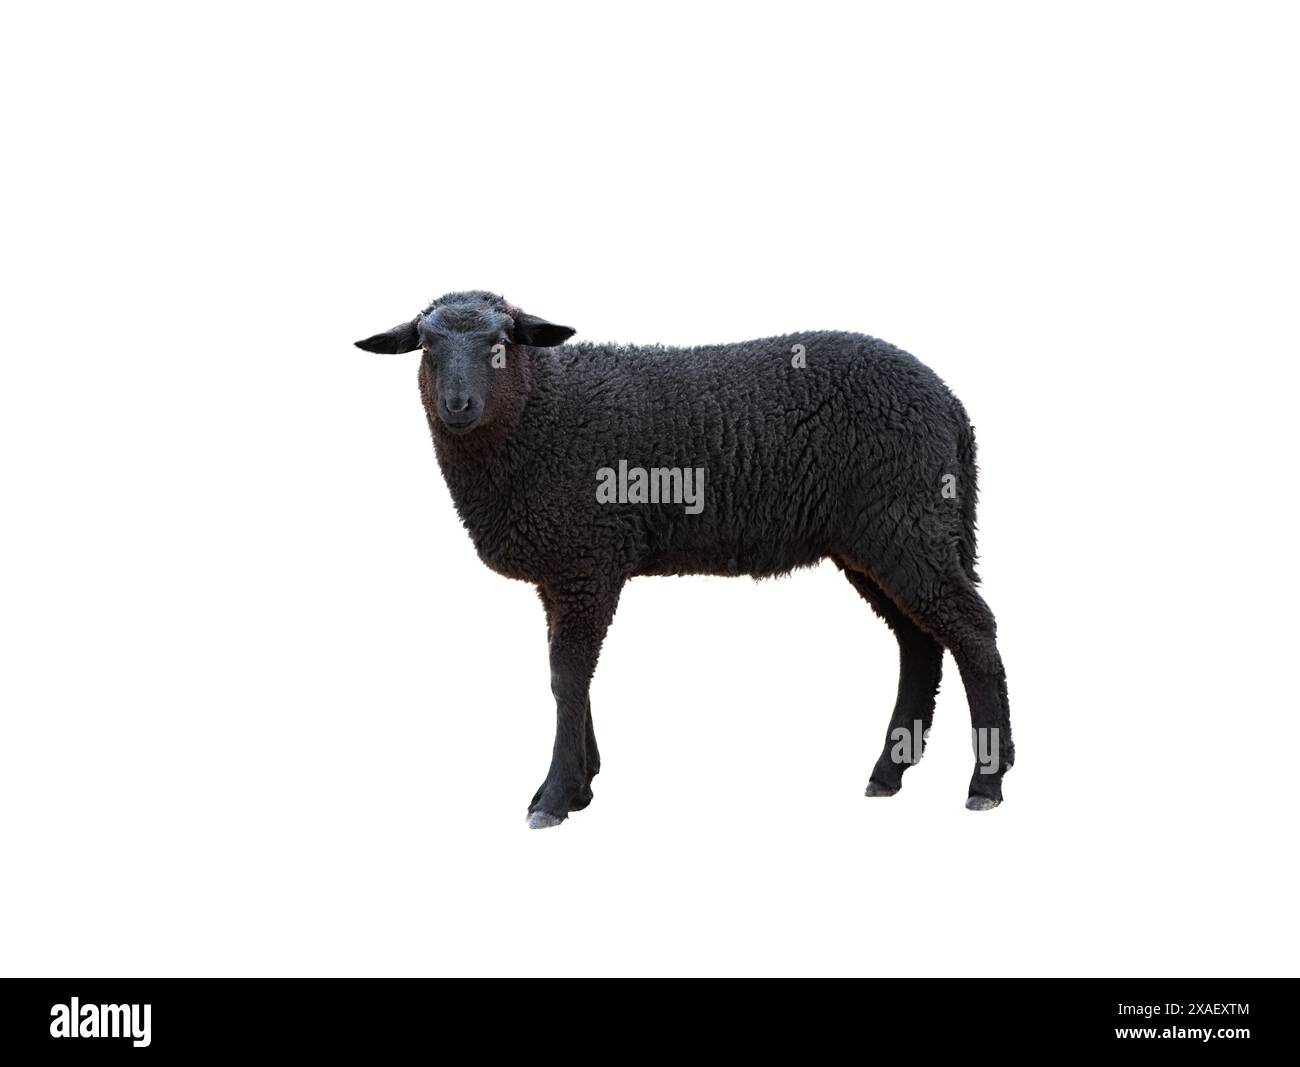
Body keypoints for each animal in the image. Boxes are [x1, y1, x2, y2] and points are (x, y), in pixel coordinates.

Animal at [357, 290, 1014, 827]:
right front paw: (583, 783)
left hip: (906, 521)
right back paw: (890, 770)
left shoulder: (588, 558)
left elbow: (566, 676)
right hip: (880, 538)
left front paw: (556, 796)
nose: (457, 404)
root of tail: (952, 406)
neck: (540, 413)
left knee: (972, 630)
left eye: (500, 345)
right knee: (920, 642)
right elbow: (572, 675)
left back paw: (987, 779)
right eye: (427, 346)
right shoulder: (567, 568)